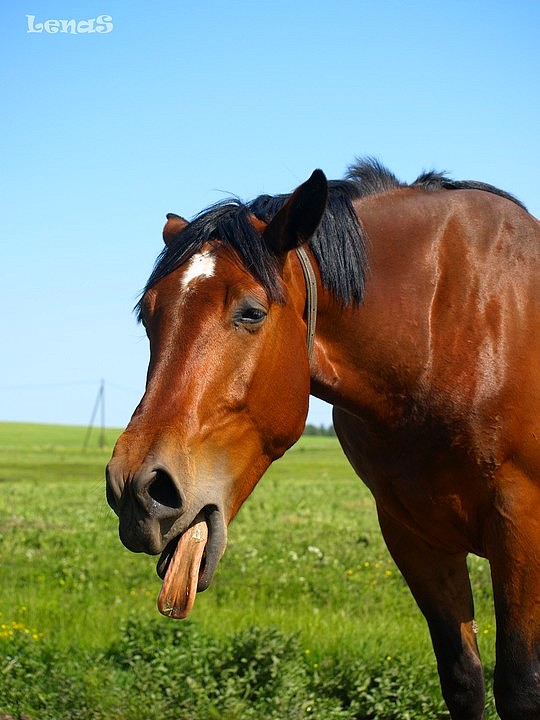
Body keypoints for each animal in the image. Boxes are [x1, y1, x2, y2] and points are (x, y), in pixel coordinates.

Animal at [106, 159, 540, 720]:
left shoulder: (521, 526)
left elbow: (520, 686)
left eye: (251, 312)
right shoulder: (414, 536)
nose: (137, 490)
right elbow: (464, 679)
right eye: (148, 315)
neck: (452, 329)